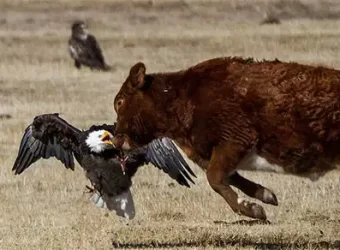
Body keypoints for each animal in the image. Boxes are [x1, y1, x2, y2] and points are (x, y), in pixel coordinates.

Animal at [113, 56, 340, 219]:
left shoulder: (234, 141)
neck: (184, 98)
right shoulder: (210, 153)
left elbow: (214, 177)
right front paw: (265, 196)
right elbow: (228, 177)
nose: (115, 140)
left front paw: (251, 209)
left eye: (120, 102)